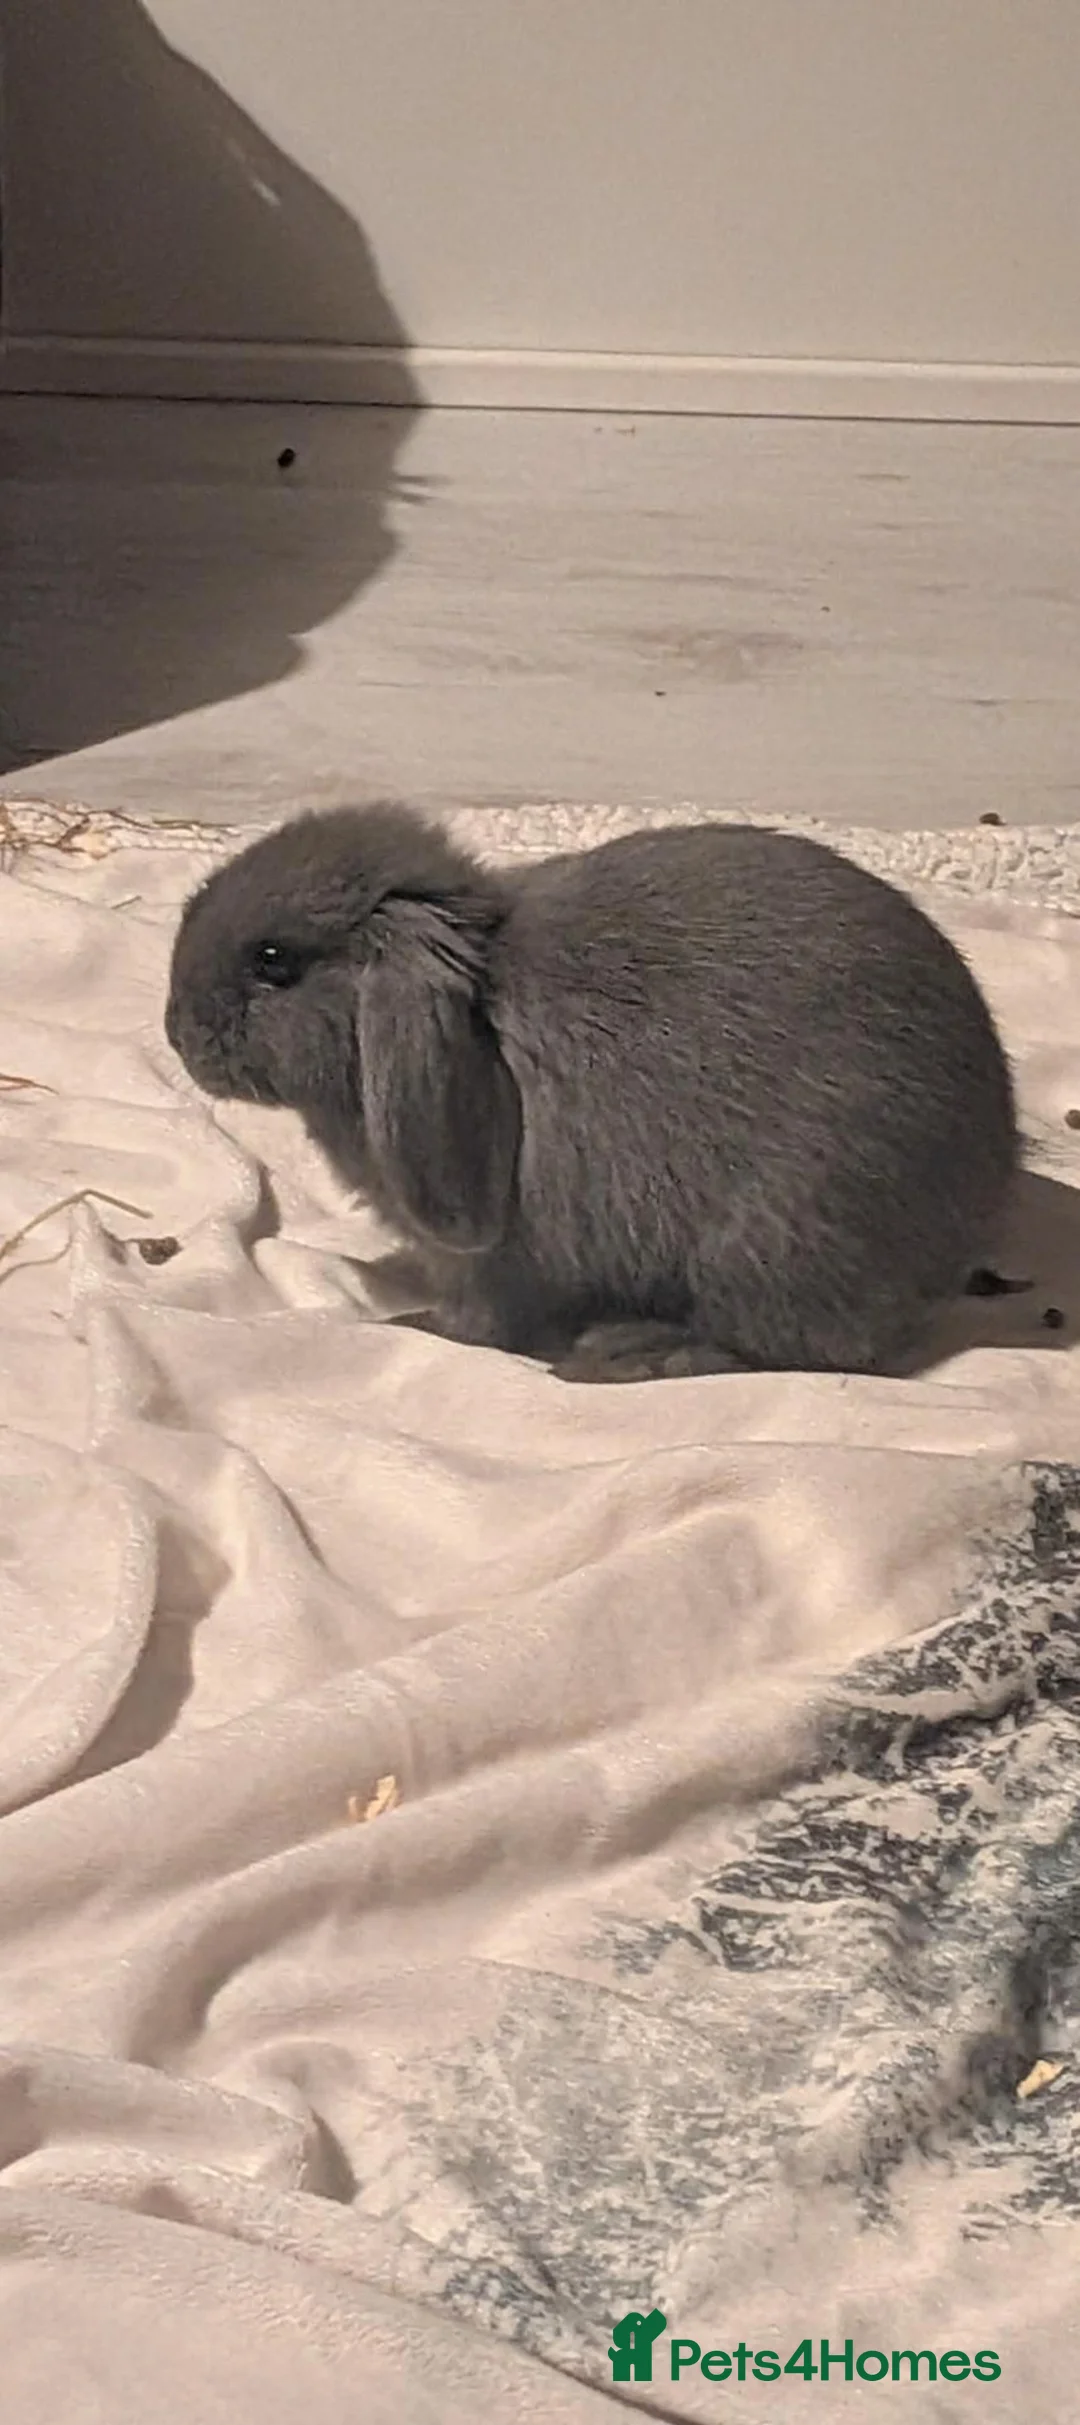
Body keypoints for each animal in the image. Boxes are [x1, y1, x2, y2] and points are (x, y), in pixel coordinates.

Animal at [165, 803, 1020, 1383]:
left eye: (274, 960)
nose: (176, 1031)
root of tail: (980, 1199)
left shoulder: (486, 1263)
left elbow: (479, 1322)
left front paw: (415, 1326)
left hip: (775, 1243)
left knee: (803, 1349)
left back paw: (626, 1351)